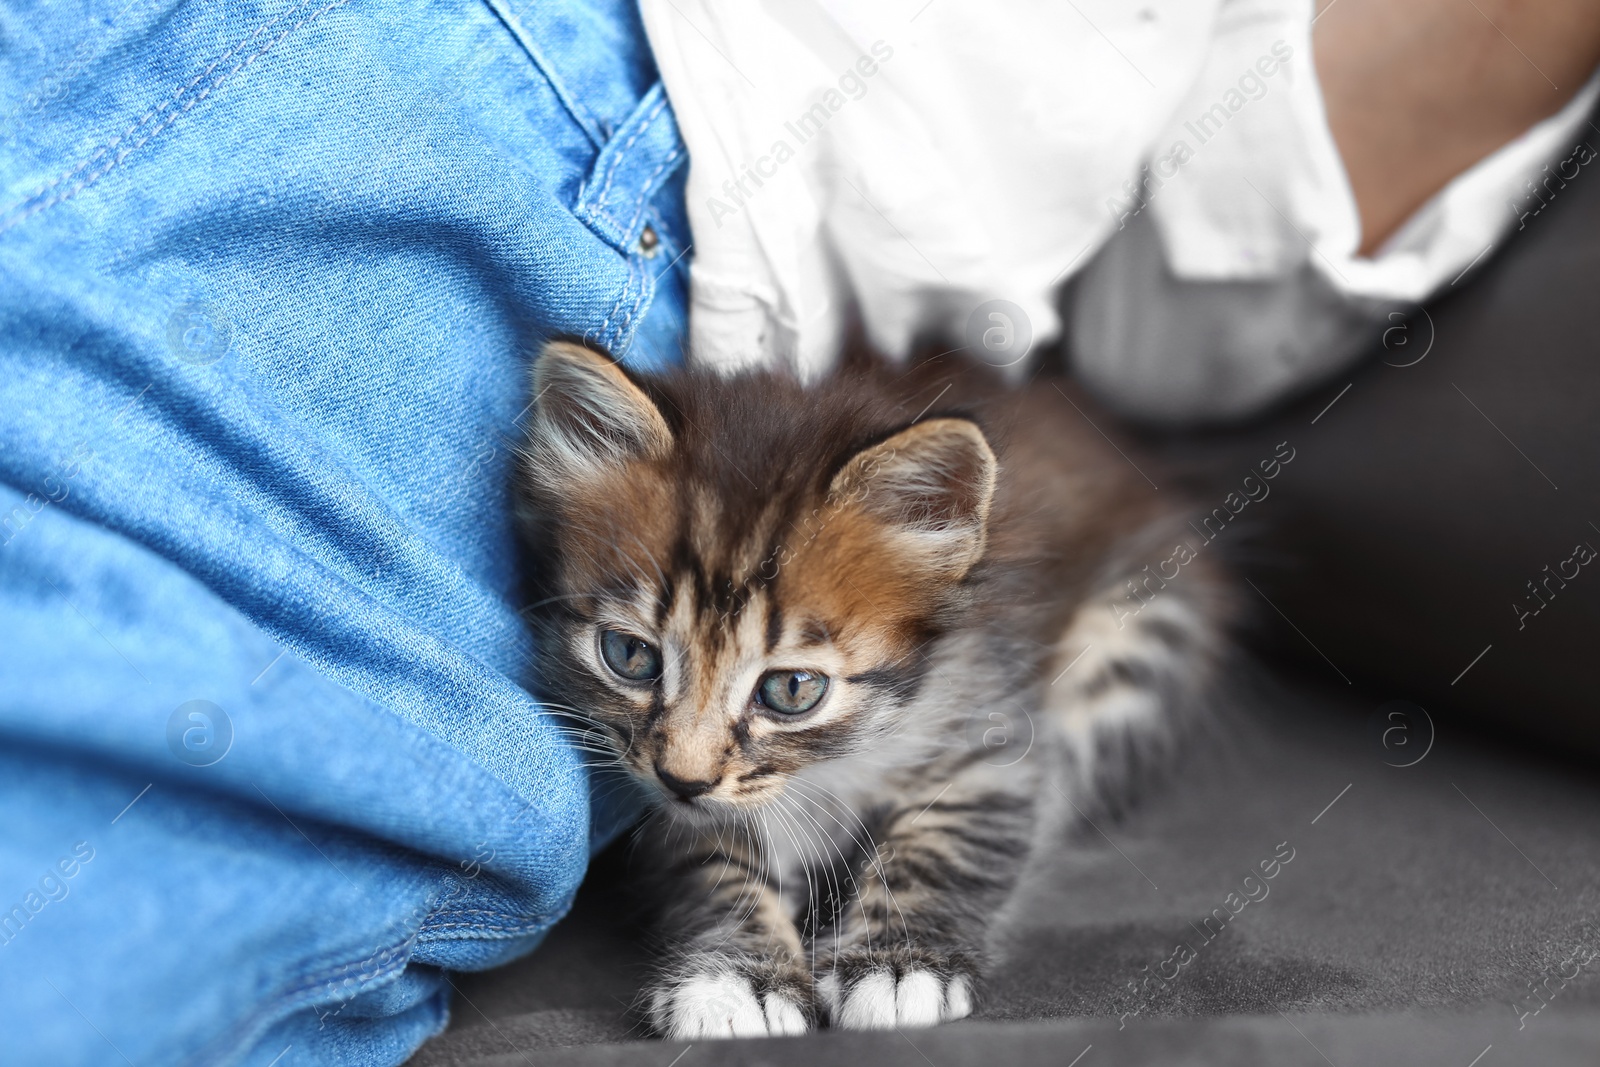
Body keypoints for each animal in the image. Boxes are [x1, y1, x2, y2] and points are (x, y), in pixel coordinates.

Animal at [518, 340, 1228, 1036]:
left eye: (792, 689)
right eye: (630, 655)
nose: (683, 781)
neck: (835, 764)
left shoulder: (989, 735)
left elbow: (945, 843)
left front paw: (897, 966)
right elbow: (713, 865)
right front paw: (734, 978)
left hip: (1134, 643)